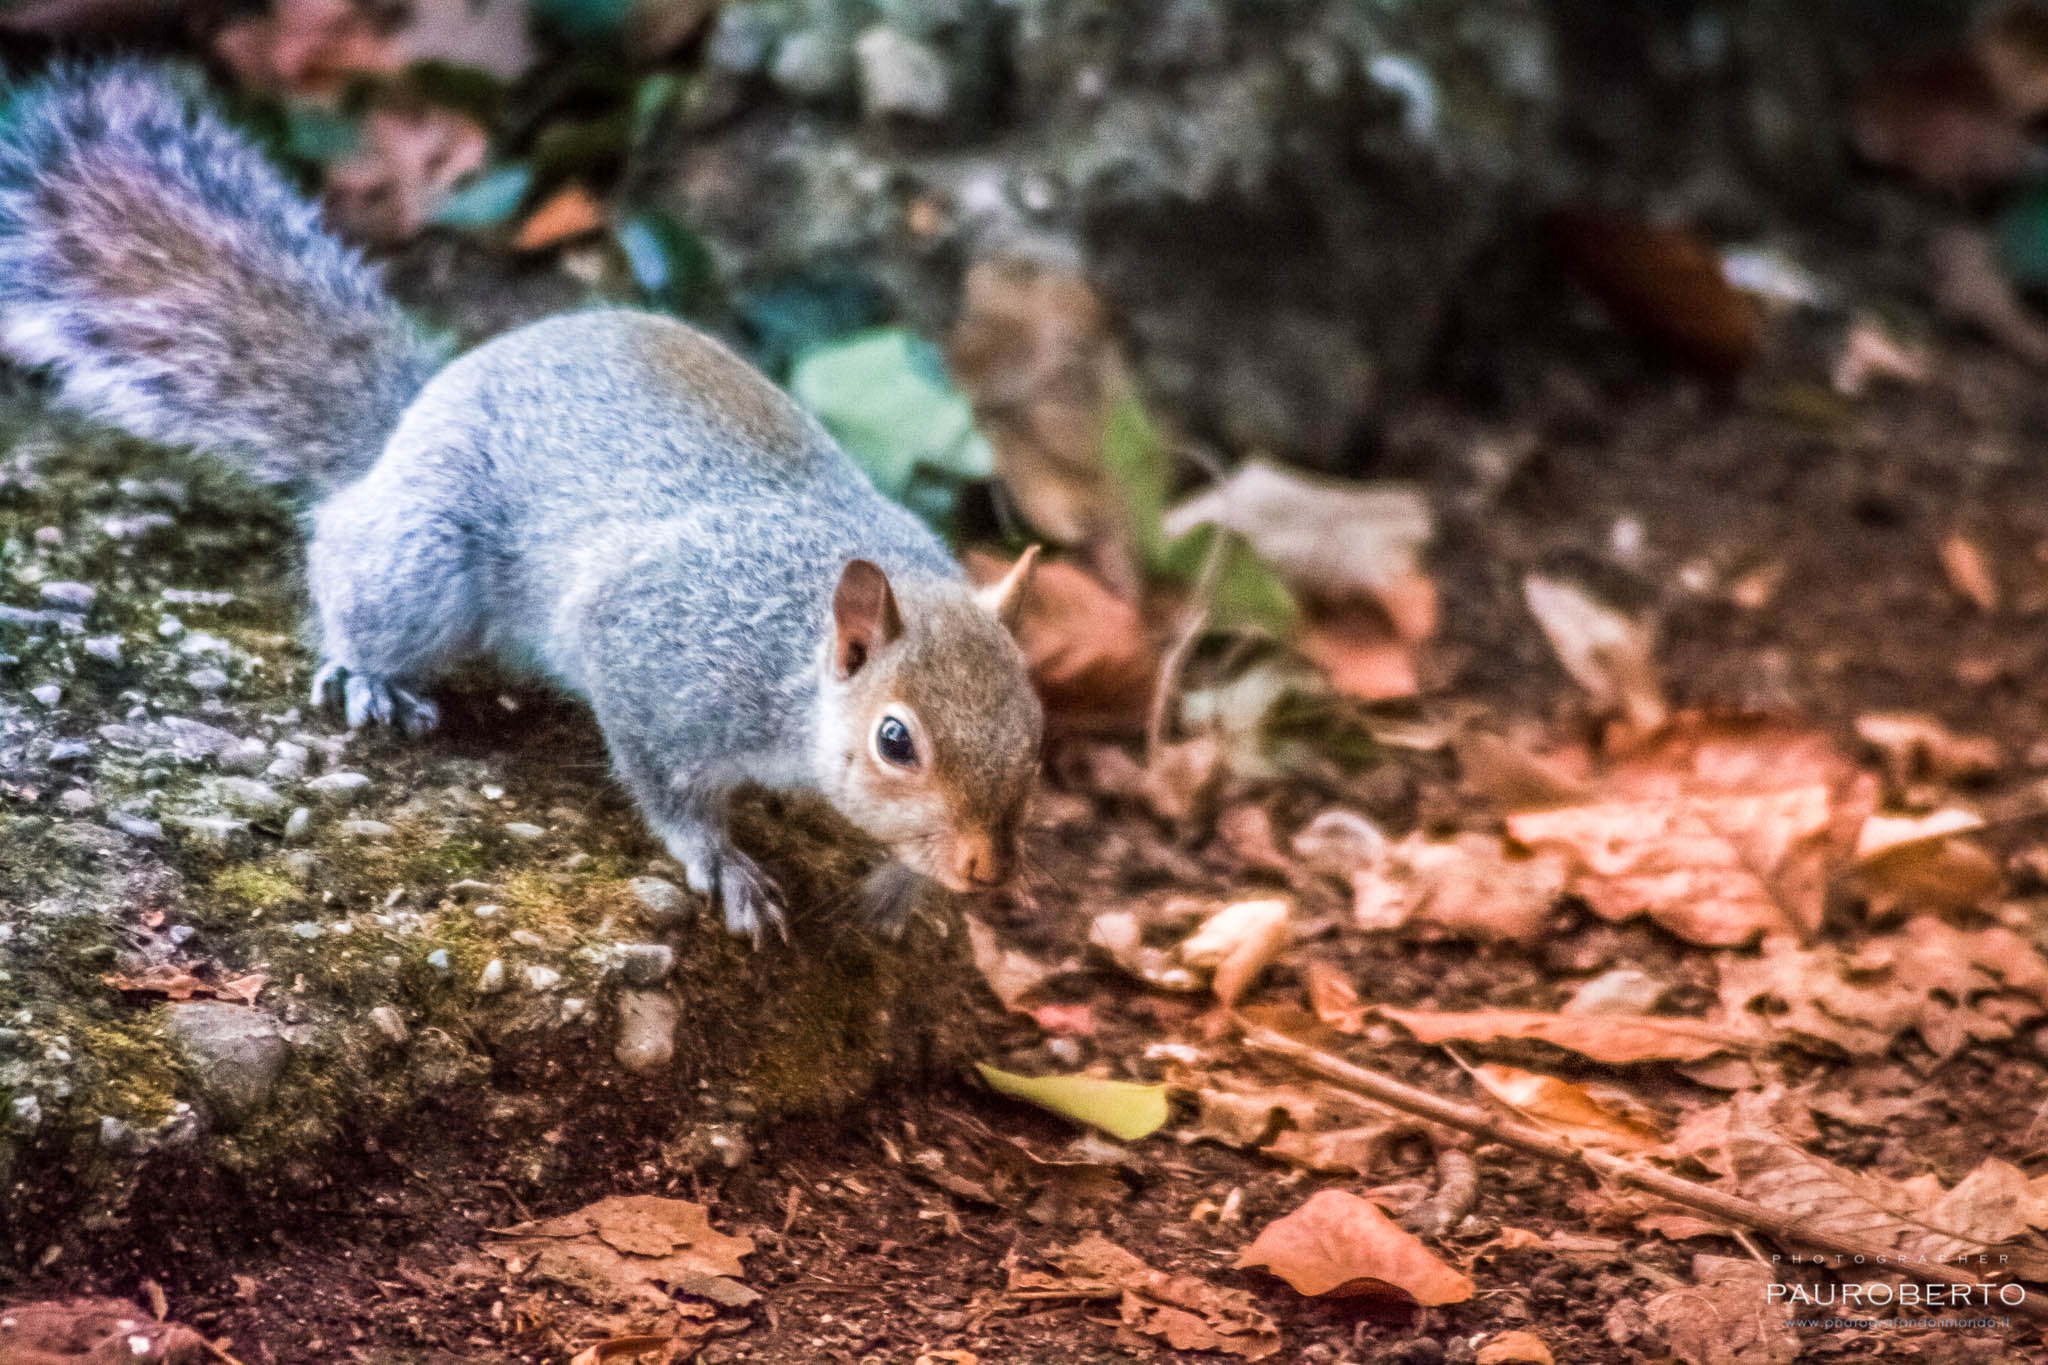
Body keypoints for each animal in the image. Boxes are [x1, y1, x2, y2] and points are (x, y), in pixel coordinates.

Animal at [0, 61, 1045, 941]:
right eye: (895, 740)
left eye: (1037, 729)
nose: (988, 870)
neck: (795, 654)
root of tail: (412, 412)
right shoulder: (660, 652)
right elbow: (666, 784)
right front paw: (724, 864)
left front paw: (903, 889)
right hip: (422, 560)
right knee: (347, 563)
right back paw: (367, 672)